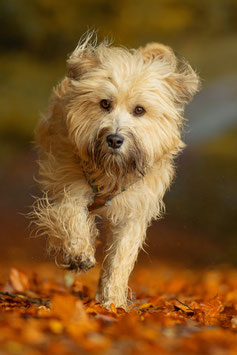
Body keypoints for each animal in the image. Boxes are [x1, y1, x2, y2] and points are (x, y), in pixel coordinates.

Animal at [32, 34, 200, 312]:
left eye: (139, 110)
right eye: (105, 104)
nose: (114, 139)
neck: (111, 172)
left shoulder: (133, 211)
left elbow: (120, 257)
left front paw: (112, 302)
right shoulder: (67, 182)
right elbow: (70, 214)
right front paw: (78, 253)